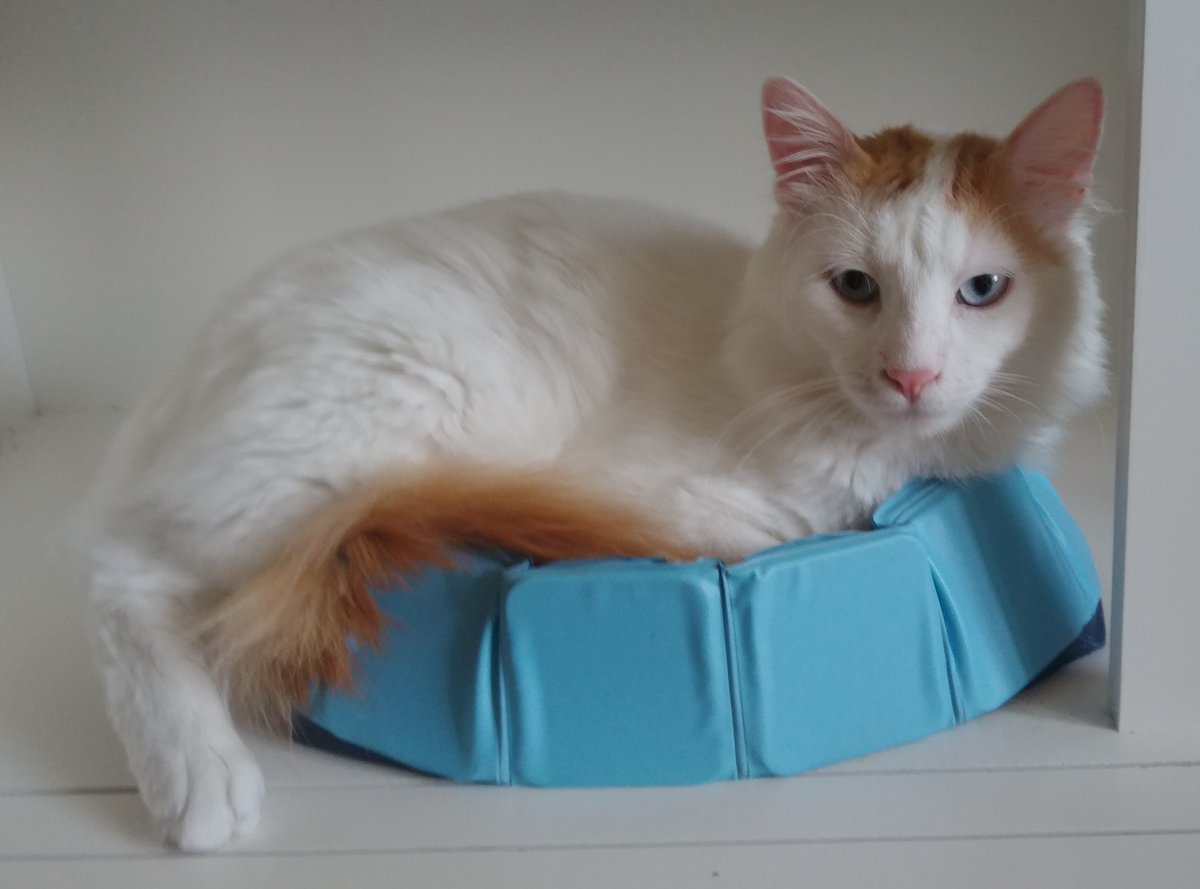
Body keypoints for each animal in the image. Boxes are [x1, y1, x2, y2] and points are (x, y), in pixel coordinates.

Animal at [75, 79, 1104, 849]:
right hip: (349, 449)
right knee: (117, 570)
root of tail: (180, 377)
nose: (911, 374)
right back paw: (199, 780)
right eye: (856, 287)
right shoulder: (685, 498)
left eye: (983, 290)